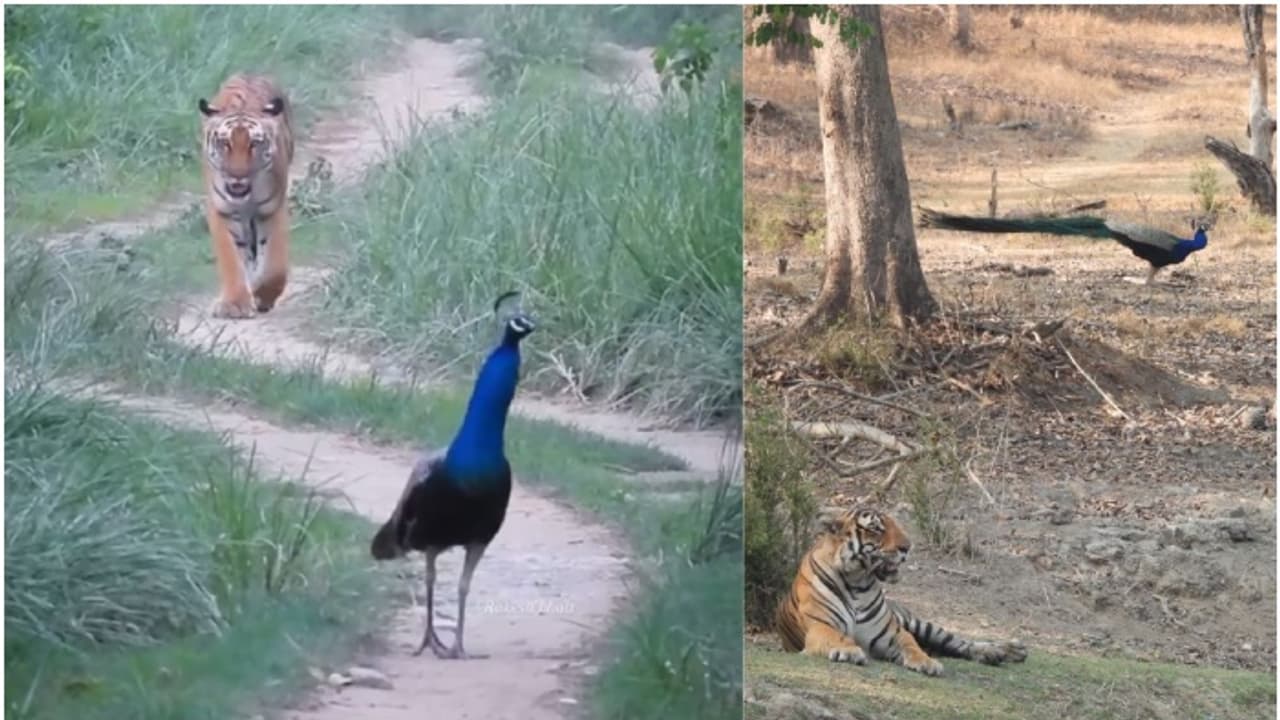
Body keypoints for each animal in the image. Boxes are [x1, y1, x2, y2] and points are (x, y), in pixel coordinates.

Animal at [197, 74, 295, 319]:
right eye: (225, 143)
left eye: (254, 144)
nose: (238, 175)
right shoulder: (221, 210)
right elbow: (230, 259)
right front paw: (235, 304)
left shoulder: (272, 209)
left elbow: (275, 266)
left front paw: (262, 294)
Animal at [775, 506, 1028, 677]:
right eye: (877, 529)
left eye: (896, 525)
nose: (907, 547)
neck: (858, 582)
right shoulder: (820, 625)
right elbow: (836, 636)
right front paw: (849, 651)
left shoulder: (892, 632)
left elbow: (911, 644)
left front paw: (927, 663)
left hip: (917, 623)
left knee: (958, 641)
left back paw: (1004, 651)